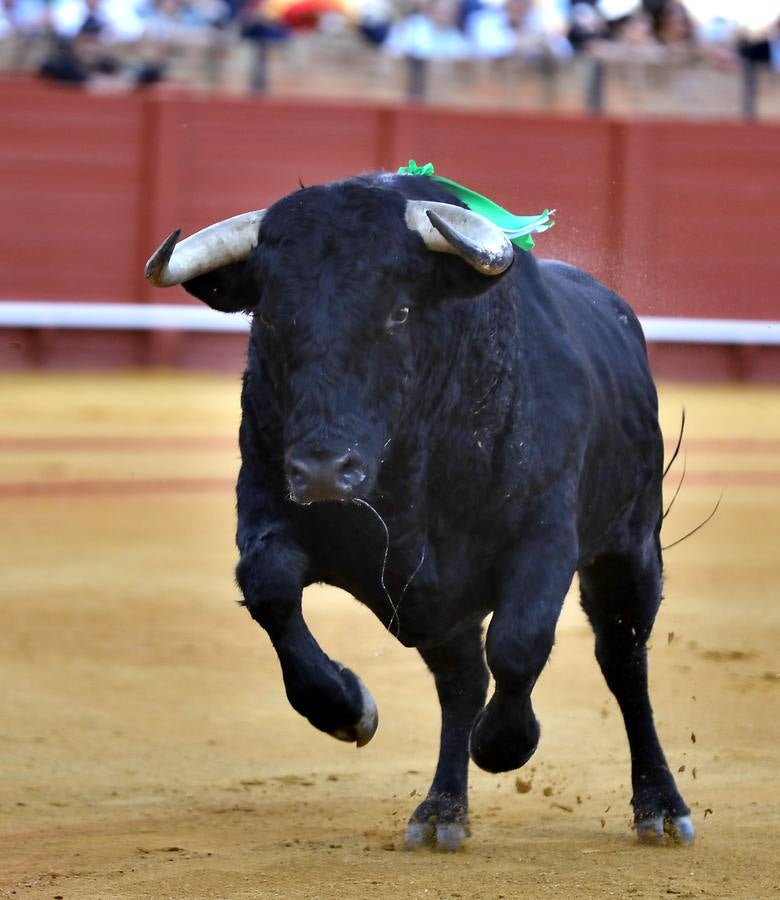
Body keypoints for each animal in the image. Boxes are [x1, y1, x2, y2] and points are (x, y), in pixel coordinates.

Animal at [143, 171, 692, 852]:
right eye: (267, 316)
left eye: (399, 312)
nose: (324, 472)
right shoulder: (272, 503)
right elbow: (269, 590)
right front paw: (349, 709)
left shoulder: (546, 534)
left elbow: (520, 641)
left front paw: (505, 744)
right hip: (440, 604)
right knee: (461, 682)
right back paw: (442, 811)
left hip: (630, 547)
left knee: (622, 660)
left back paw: (660, 806)